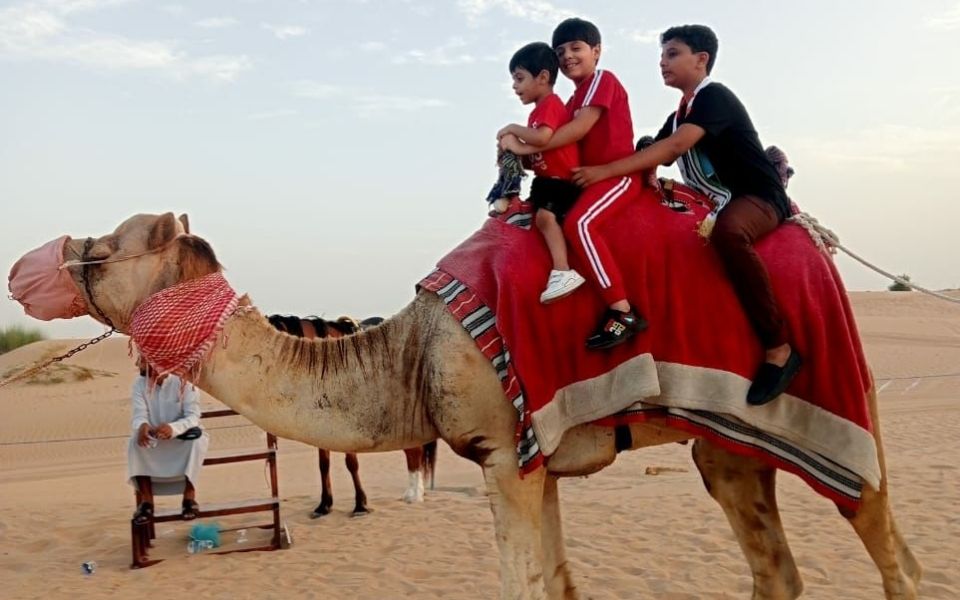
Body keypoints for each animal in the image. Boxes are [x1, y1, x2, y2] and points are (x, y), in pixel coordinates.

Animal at [266, 310, 438, 516]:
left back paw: (414, 494)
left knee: (414, 451)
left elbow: (351, 463)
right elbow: (323, 465)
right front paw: (325, 505)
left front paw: (360, 504)